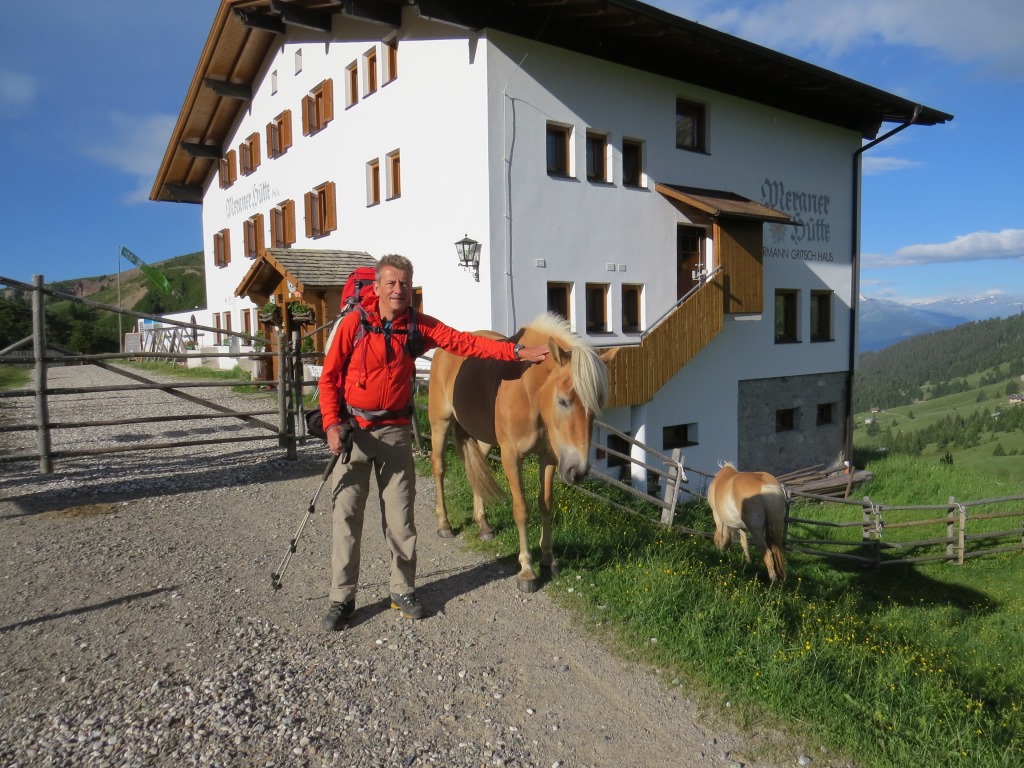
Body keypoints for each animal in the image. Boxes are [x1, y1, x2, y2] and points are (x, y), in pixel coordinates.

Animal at [425, 313, 606, 593]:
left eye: (596, 407)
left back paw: (483, 525)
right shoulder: (511, 457)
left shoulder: (549, 458)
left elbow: (546, 504)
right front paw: (527, 570)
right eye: (563, 401)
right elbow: (521, 509)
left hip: (483, 438)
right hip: (440, 423)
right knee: (439, 468)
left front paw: (548, 559)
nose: (578, 471)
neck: (528, 391)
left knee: (479, 469)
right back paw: (444, 523)